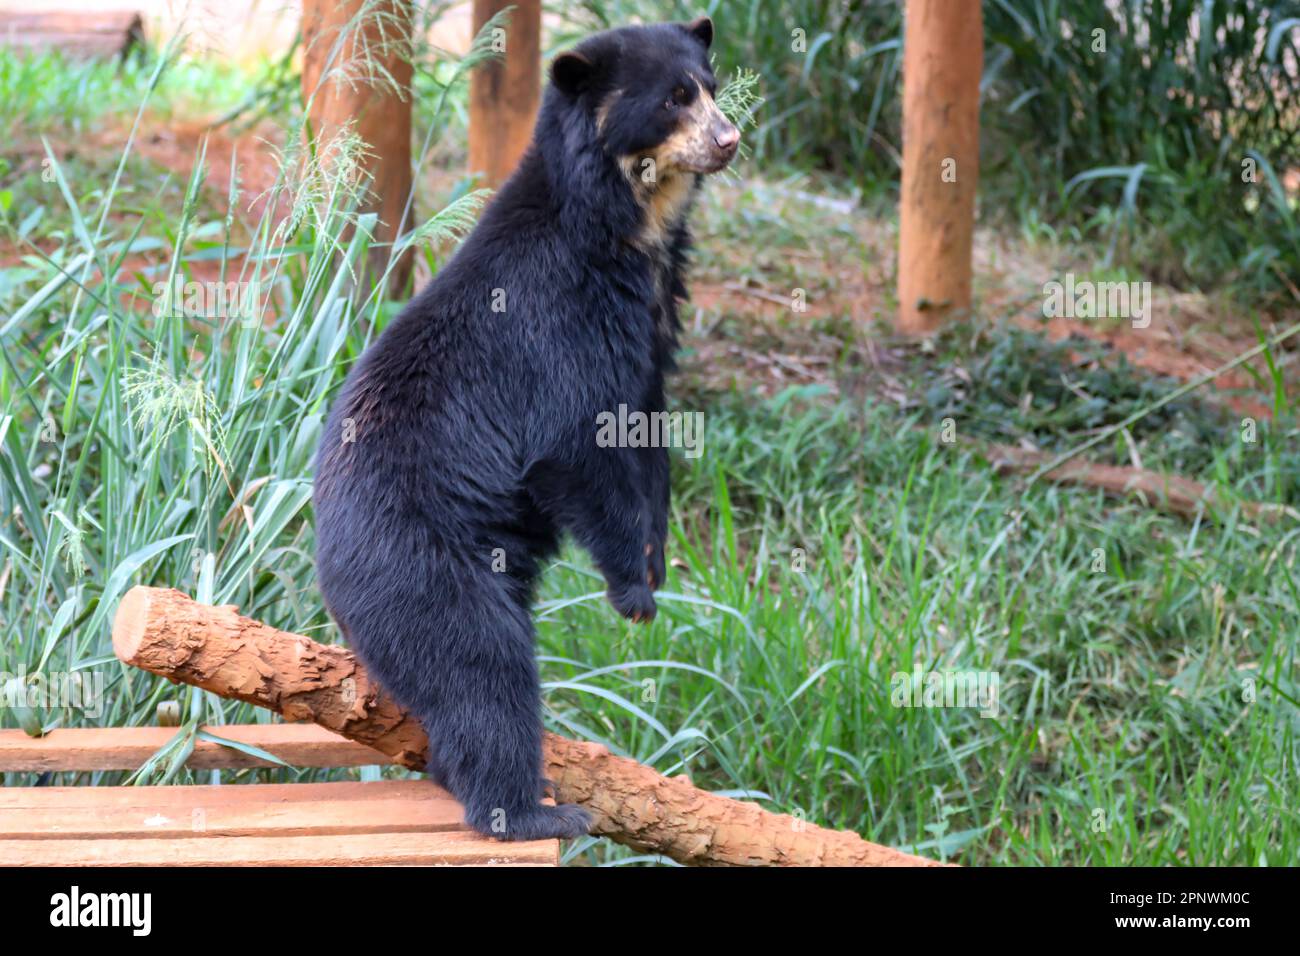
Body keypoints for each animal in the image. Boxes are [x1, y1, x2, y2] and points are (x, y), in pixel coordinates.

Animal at [312, 16, 739, 841]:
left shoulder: (650, 323)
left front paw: (656, 561)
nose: (730, 139)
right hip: (421, 561)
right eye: (673, 99)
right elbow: (573, 446)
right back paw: (534, 811)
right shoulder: (556, 319)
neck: (625, 229)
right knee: (483, 668)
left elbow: (648, 433)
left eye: (710, 85)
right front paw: (633, 593)